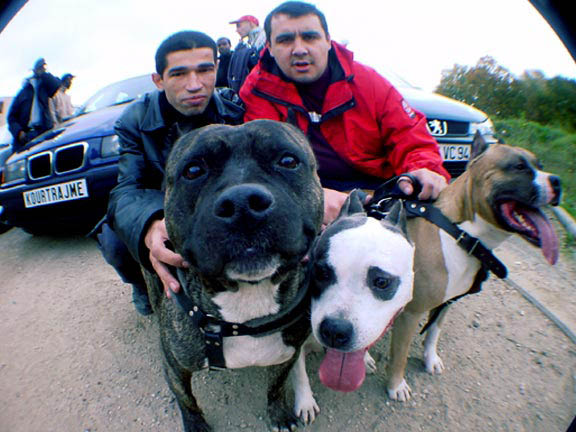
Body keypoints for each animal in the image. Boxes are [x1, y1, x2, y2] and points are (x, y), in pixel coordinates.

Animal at [144, 120, 324, 432]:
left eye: (288, 161)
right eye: (194, 170)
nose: (243, 203)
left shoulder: (287, 354)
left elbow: (276, 387)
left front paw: (279, 414)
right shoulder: (175, 365)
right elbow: (186, 399)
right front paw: (196, 425)